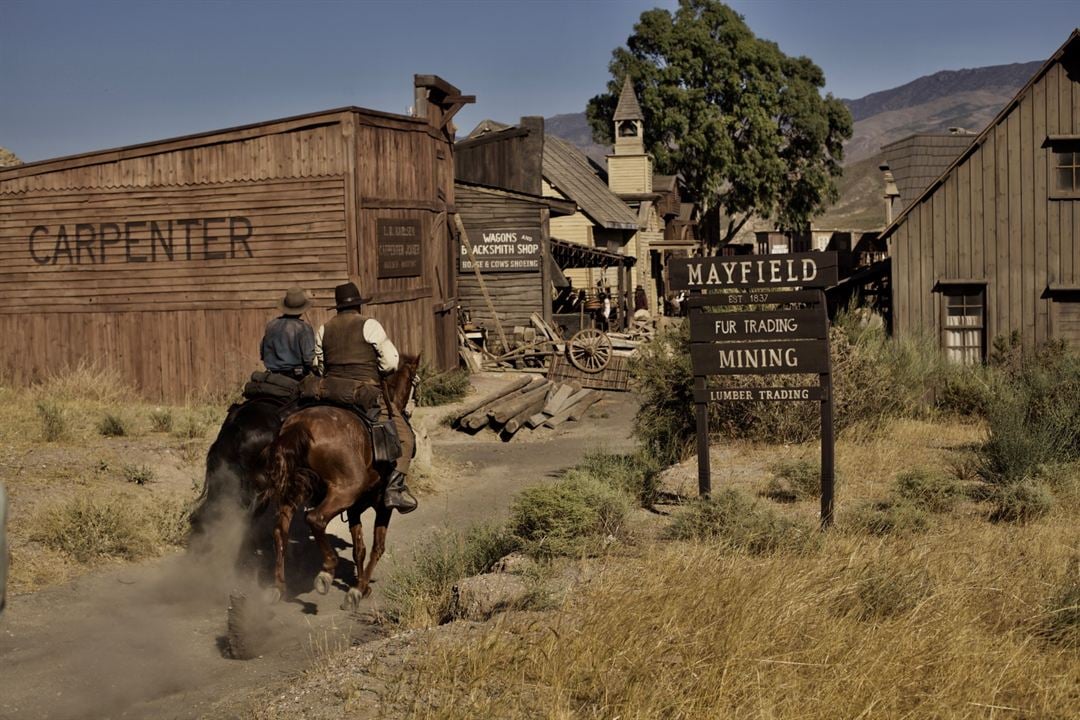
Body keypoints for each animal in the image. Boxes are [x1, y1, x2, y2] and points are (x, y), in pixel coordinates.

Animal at [265, 354, 421, 608]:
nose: (410, 409)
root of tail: (300, 426)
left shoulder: (355, 508)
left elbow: (360, 548)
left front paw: (361, 586)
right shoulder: (383, 506)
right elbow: (377, 547)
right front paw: (359, 589)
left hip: (294, 491)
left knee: (280, 530)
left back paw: (278, 587)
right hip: (343, 492)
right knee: (315, 519)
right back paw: (327, 570)